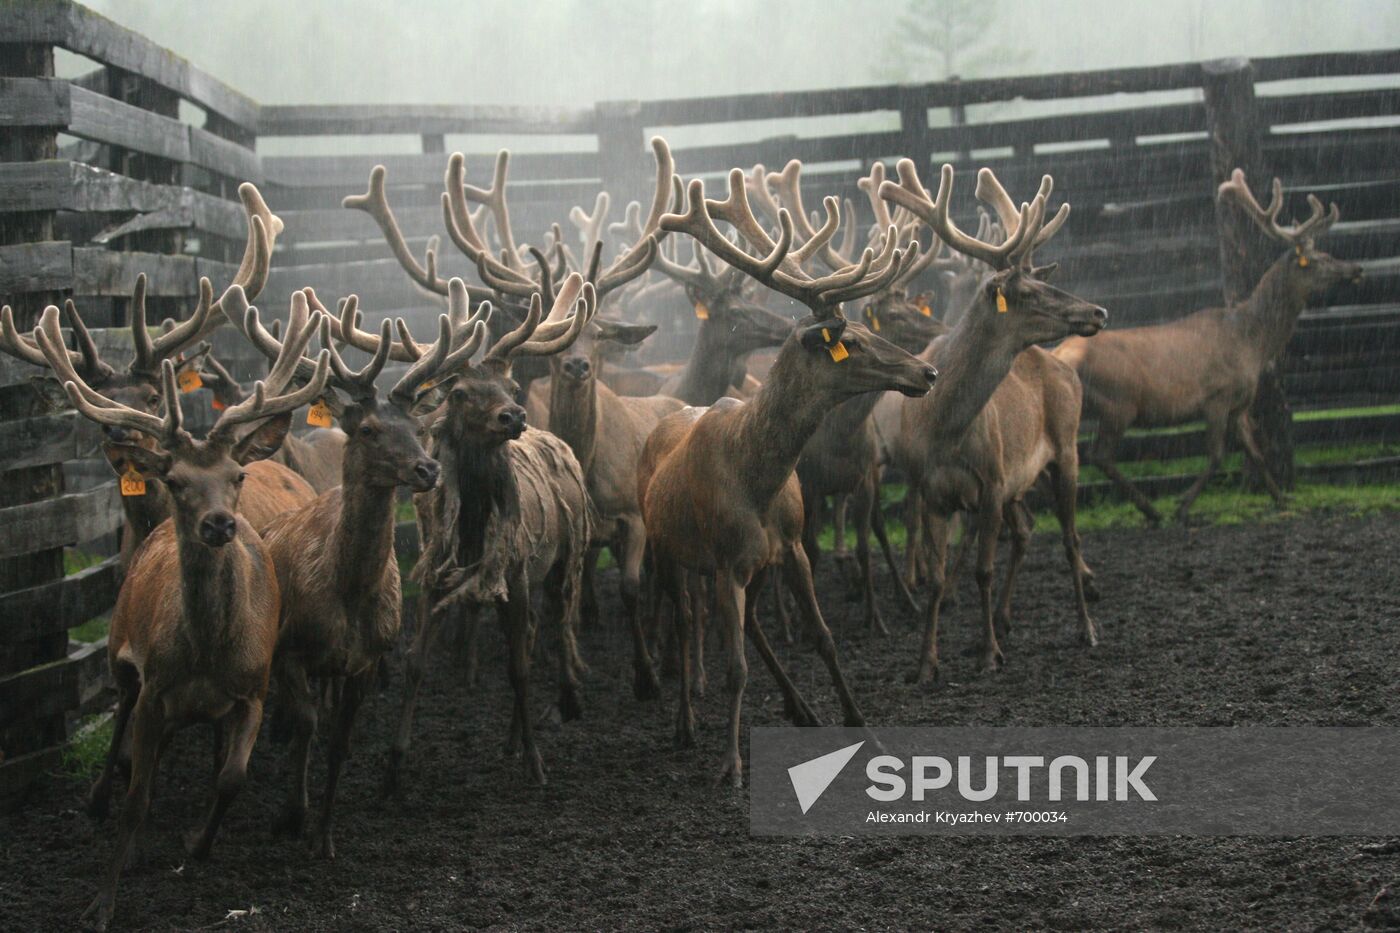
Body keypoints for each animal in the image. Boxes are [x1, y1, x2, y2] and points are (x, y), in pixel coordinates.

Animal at [32, 297, 330, 933]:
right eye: (174, 479)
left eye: (235, 476)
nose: (219, 523)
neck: (207, 654)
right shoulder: (154, 689)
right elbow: (137, 793)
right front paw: (104, 901)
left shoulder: (253, 690)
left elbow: (231, 777)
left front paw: (198, 843)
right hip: (122, 654)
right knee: (124, 723)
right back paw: (101, 799)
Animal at [385, 276, 595, 792]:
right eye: (458, 392)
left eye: (512, 385)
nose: (513, 415)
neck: (474, 532)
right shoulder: (436, 570)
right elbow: (415, 662)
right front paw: (394, 764)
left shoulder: (514, 574)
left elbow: (518, 669)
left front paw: (537, 764)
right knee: (534, 630)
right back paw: (511, 739)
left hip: (565, 556)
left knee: (555, 624)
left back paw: (557, 709)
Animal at [639, 166, 938, 787]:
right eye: (853, 343)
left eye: (867, 329)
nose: (928, 371)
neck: (760, 482)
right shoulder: (725, 561)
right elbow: (732, 667)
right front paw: (731, 764)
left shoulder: (791, 546)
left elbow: (823, 638)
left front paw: (861, 724)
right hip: (669, 547)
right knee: (684, 623)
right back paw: (686, 724)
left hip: (755, 566)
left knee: (752, 622)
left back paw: (800, 708)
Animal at [878, 160, 1107, 686]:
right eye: (1025, 292)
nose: (1098, 310)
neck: (944, 429)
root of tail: (1062, 365)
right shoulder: (935, 491)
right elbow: (937, 578)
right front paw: (926, 663)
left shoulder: (992, 481)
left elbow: (981, 569)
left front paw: (987, 653)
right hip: (1023, 480)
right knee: (1027, 530)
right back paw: (1005, 618)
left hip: (1066, 451)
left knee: (1070, 538)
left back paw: (1085, 628)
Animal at [1054, 169, 1363, 525]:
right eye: (1315, 260)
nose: (1356, 268)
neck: (1253, 344)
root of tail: (1059, 354)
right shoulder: (1217, 396)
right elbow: (1216, 456)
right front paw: (1183, 505)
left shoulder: (1239, 404)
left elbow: (1255, 452)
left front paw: (1282, 498)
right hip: (1119, 403)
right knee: (1100, 455)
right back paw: (1151, 510)